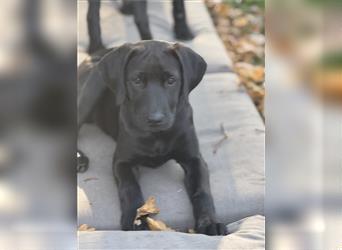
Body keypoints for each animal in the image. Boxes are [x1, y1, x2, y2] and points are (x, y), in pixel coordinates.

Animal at [78, 40, 227, 235]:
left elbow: (202, 191)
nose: (155, 119)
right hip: (92, 87)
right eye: (137, 80)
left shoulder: (194, 159)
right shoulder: (122, 162)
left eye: (171, 80)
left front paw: (210, 222)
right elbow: (130, 188)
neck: (157, 136)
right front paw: (136, 219)